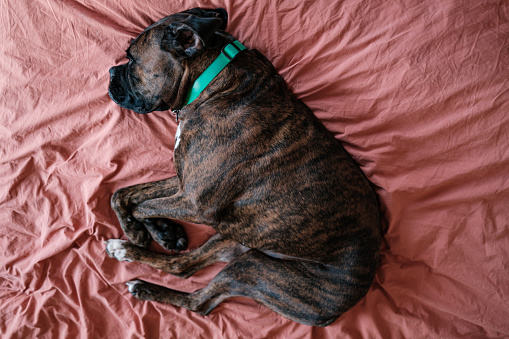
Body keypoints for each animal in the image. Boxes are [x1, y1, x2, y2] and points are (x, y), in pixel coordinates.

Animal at [104, 7, 380, 326]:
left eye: (132, 60)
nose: (110, 72)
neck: (211, 83)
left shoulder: (194, 203)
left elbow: (141, 205)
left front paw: (141, 231)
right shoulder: (186, 182)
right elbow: (126, 193)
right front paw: (163, 232)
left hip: (255, 268)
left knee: (199, 302)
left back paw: (136, 271)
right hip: (234, 239)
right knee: (183, 266)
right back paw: (131, 258)